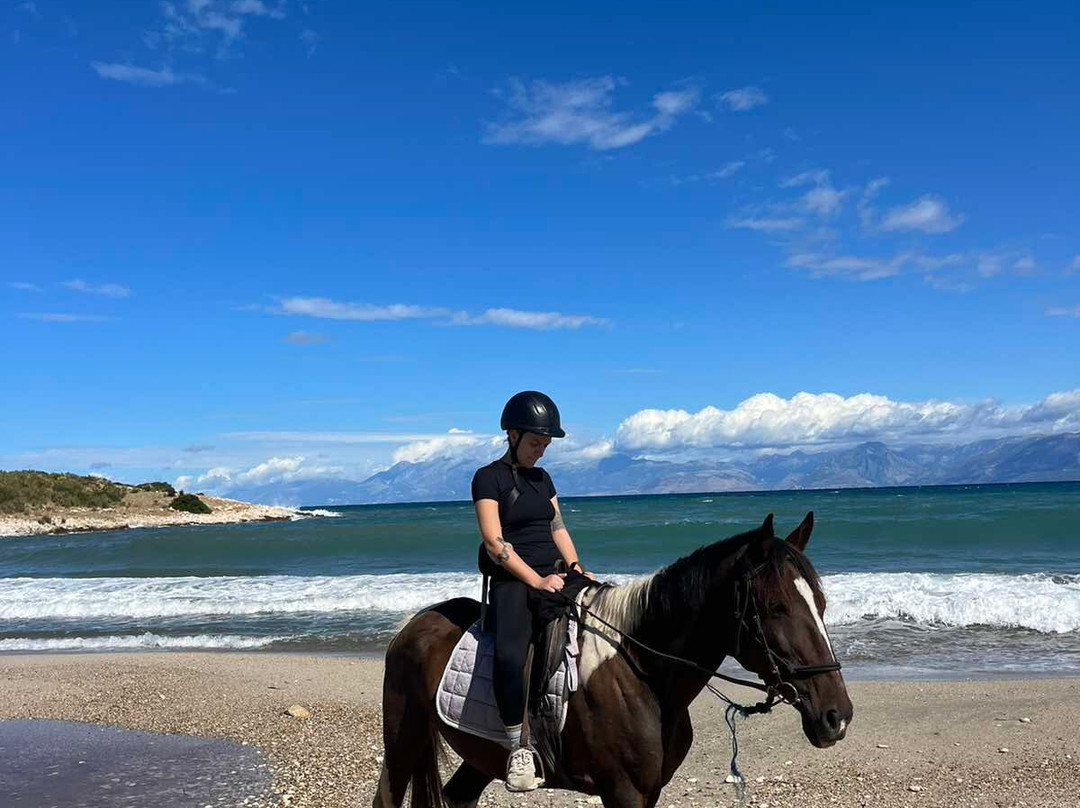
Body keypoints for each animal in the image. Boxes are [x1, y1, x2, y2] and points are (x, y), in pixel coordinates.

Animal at [374, 512, 852, 808]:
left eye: (822, 604)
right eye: (775, 608)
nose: (837, 716)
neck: (644, 671)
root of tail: (414, 624)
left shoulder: (649, 790)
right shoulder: (622, 792)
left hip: (478, 756)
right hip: (403, 736)